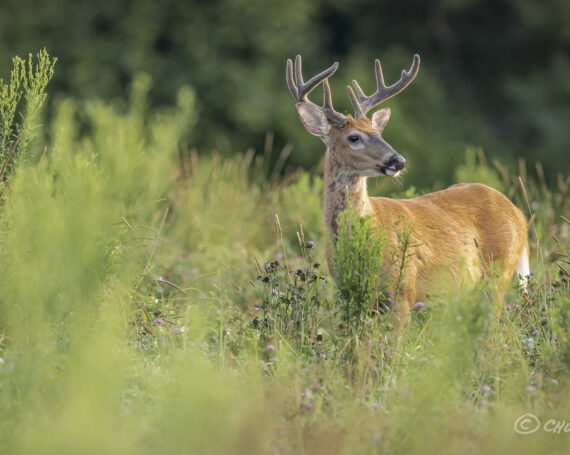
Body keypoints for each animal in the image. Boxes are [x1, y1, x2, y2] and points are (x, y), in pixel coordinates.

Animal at [284, 53, 528, 318]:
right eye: (354, 137)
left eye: (379, 132)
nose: (398, 160)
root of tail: (519, 213)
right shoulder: (348, 294)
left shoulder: (402, 291)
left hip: (499, 273)